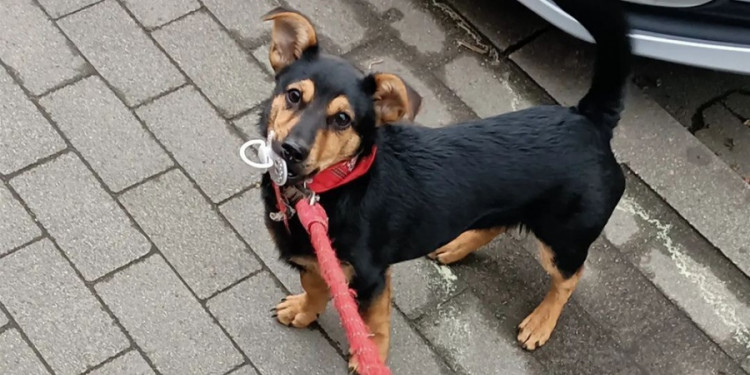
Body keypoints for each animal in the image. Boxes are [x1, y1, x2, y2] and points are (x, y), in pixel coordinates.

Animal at [262, 0, 632, 370]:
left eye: (342, 119)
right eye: (293, 95)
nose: (291, 150)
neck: (333, 186)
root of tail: (589, 119)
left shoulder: (371, 277)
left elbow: (373, 323)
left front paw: (371, 357)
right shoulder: (314, 259)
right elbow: (315, 286)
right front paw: (304, 311)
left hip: (563, 238)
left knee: (569, 278)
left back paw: (540, 322)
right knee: (498, 223)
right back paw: (456, 246)